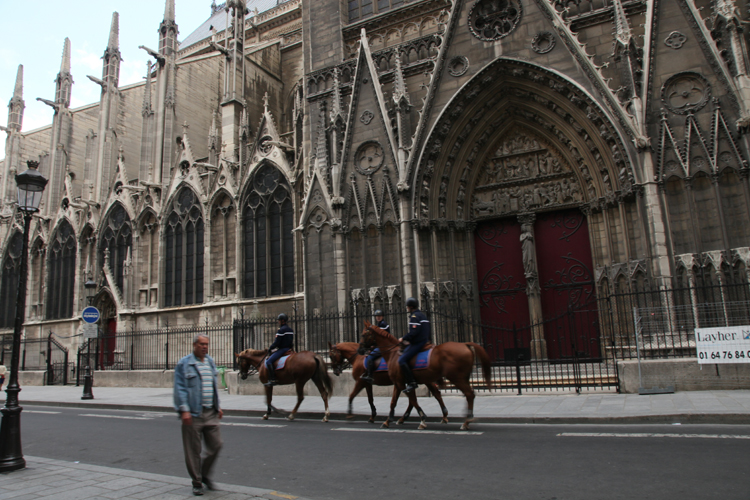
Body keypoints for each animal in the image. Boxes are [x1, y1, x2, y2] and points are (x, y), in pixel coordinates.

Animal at [362, 322, 496, 432]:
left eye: (363, 335)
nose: (360, 350)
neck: (393, 354)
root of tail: (465, 344)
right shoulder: (403, 382)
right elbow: (398, 401)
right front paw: (388, 421)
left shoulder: (400, 382)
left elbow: (408, 400)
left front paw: (422, 419)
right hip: (461, 377)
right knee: (466, 395)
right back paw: (464, 419)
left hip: (456, 377)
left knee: (469, 394)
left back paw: (466, 421)